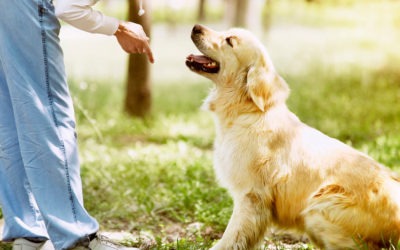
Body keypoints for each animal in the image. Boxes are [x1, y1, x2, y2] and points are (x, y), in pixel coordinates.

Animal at [187, 23, 400, 250]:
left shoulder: (251, 195)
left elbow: (231, 236)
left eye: (229, 40)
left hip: (319, 207)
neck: (247, 110)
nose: (196, 27)